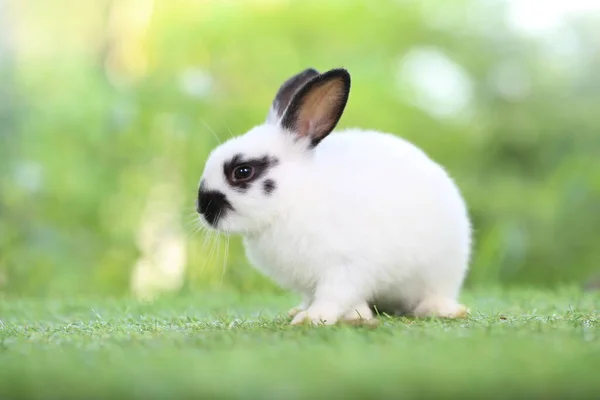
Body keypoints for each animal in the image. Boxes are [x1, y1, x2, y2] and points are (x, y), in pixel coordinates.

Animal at [199, 66, 472, 324]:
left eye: (242, 171)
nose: (203, 209)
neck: (294, 199)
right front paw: (346, 315)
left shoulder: (345, 267)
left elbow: (333, 296)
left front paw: (312, 319)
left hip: (441, 271)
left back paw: (443, 310)